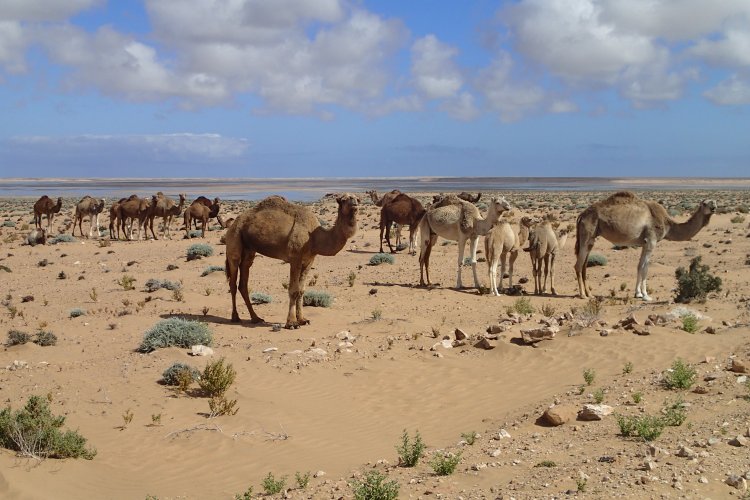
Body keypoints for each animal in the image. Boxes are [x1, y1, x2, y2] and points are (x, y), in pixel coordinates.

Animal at [226, 194, 362, 328]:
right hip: (235, 238)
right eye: (343, 199)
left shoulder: (309, 260)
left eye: (357, 198)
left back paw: (255, 318)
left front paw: (302, 319)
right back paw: (235, 317)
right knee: (233, 280)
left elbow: (301, 290)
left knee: (243, 281)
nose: (354, 202)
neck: (314, 236)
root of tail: (234, 222)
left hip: (249, 250)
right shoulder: (295, 258)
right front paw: (291, 322)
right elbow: (294, 290)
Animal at [580, 191, 720, 300]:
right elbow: (645, 268)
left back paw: (590, 294)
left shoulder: (644, 243)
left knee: (584, 265)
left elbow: (639, 266)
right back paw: (582, 295)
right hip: (586, 234)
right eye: (704, 203)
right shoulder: (651, 241)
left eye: (714, 202)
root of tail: (581, 215)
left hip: (591, 238)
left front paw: (637, 293)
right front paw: (645, 295)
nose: (714, 207)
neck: (667, 224)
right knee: (578, 264)